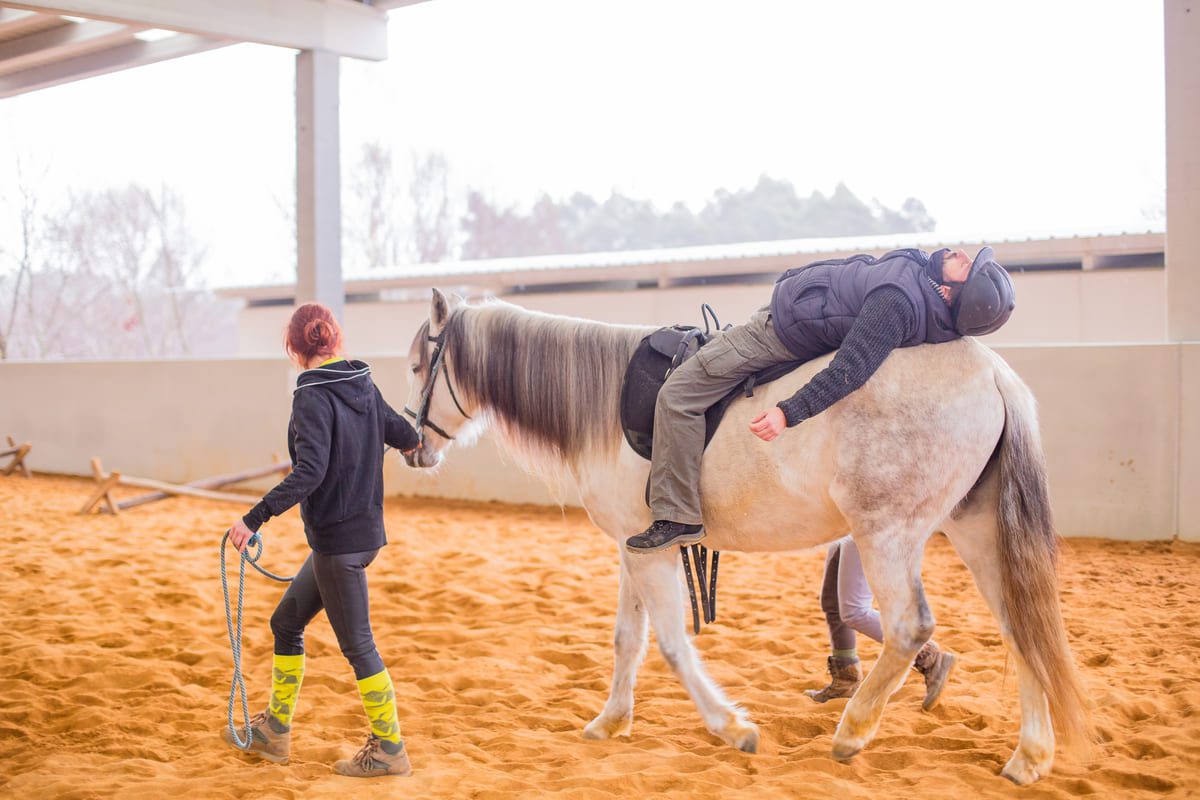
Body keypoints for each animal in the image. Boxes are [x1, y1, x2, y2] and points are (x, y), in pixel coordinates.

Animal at [400, 288, 1089, 785]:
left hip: (886, 534)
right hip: (977, 533)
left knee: (910, 628)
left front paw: (732, 728)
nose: (412, 448)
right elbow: (628, 640)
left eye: (415, 365)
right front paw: (610, 722)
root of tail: (991, 373)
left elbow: (671, 644)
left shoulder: (650, 549)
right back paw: (1029, 758)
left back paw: (853, 730)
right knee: (1021, 627)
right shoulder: (633, 546)